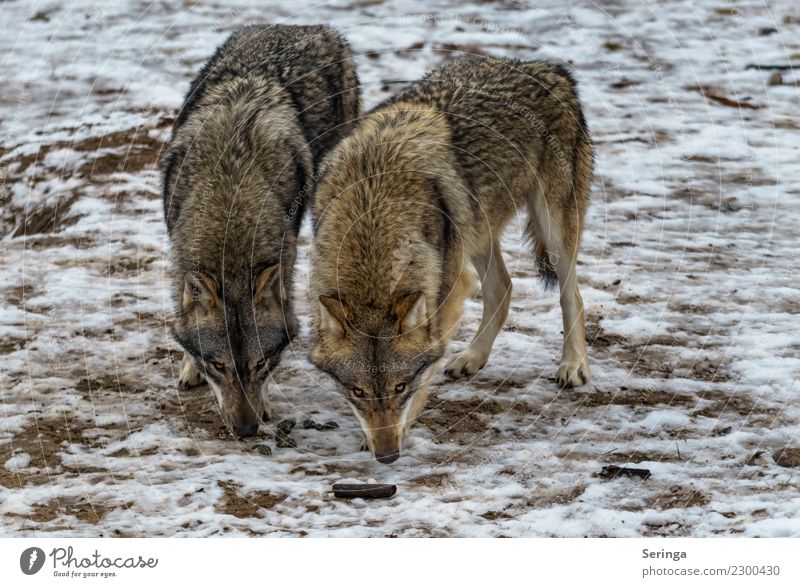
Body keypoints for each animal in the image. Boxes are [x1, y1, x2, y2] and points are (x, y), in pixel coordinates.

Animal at [162, 24, 360, 436]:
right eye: (218, 366)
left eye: (260, 363)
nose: (245, 430)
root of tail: (303, 26)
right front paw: (189, 365)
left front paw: (266, 402)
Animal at [310, 57, 592, 462]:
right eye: (357, 392)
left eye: (400, 387)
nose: (387, 455)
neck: (372, 209)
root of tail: (543, 66)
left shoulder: (445, 290)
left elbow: (428, 362)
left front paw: (405, 427)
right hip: (474, 226)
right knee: (503, 287)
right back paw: (472, 358)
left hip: (550, 227)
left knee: (573, 295)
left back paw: (573, 365)